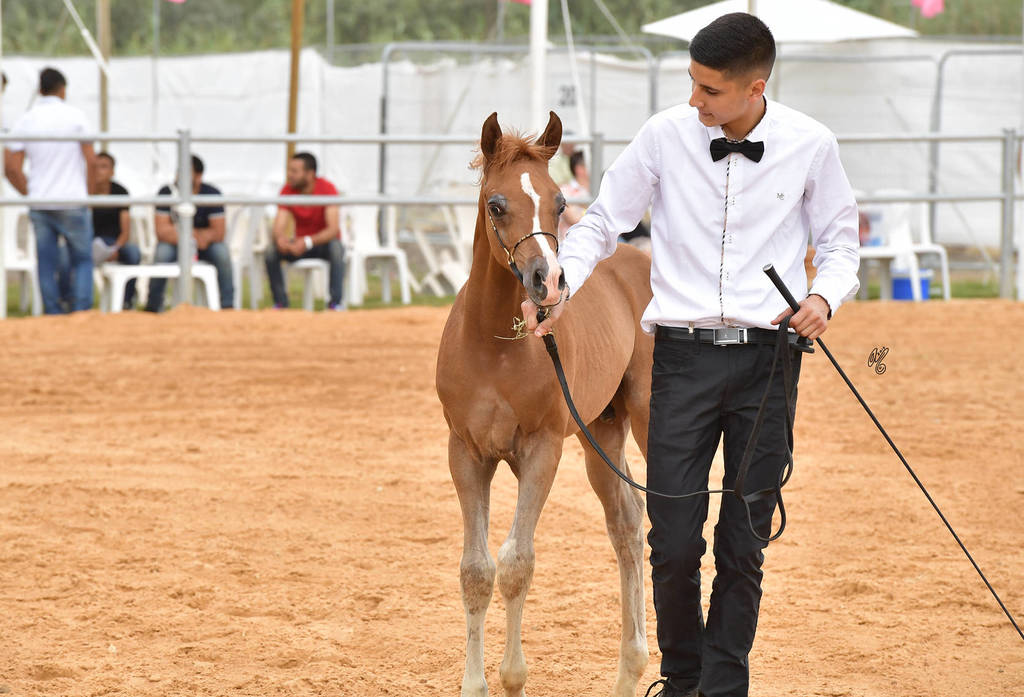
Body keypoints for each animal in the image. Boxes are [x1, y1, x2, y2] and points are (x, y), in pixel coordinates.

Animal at [435, 111, 654, 697]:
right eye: (496, 204)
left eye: (558, 201)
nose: (549, 281)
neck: (494, 342)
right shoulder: (466, 453)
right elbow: (476, 570)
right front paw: (475, 684)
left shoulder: (542, 450)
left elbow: (517, 562)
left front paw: (513, 678)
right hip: (602, 433)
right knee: (627, 522)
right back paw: (630, 668)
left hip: (645, 419)